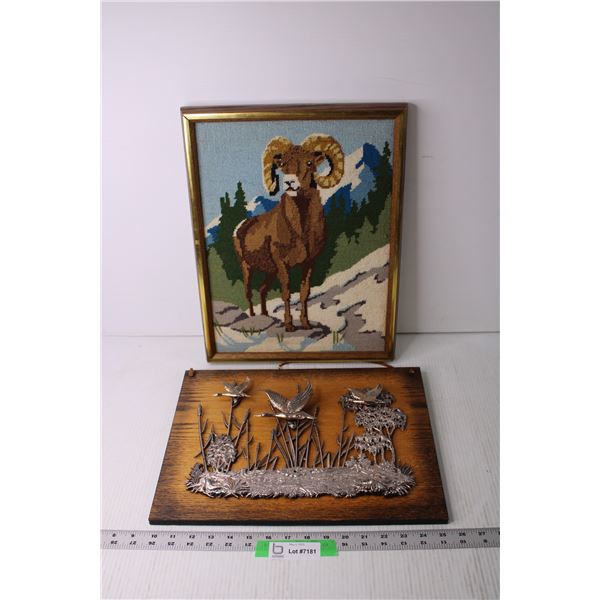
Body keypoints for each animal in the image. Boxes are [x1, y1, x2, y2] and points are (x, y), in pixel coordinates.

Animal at [233, 134, 344, 332]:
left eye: (309, 162)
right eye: (283, 163)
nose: (289, 182)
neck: (301, 231)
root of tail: (240, 226)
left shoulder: (309, 263)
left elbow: (304, 293)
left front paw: (306, 324)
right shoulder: (282, 264)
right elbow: (286, 293)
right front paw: (289, 325)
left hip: (269, 272)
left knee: (262, 290)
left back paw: (265, 315)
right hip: (246, 267)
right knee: (248, 293)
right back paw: (254, 317)